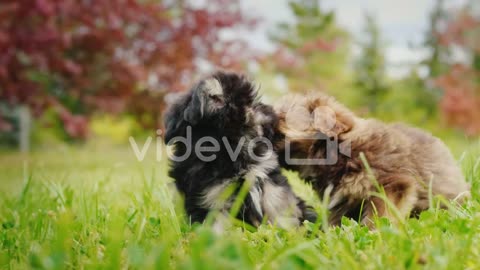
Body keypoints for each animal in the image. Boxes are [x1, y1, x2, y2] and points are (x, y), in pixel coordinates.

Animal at [163, 70, 316, 229]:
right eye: (252, 103)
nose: (271, 110)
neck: (230, 146)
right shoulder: (213, 196)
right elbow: (217, 224)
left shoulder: (267, 177)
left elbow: (278, 204)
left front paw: (288, 230)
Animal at [274, 93, 468, 226]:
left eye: (281, 117)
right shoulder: (343, 202)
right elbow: (337, 220)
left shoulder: (392, 184)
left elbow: (379, 214)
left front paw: (374, 232)